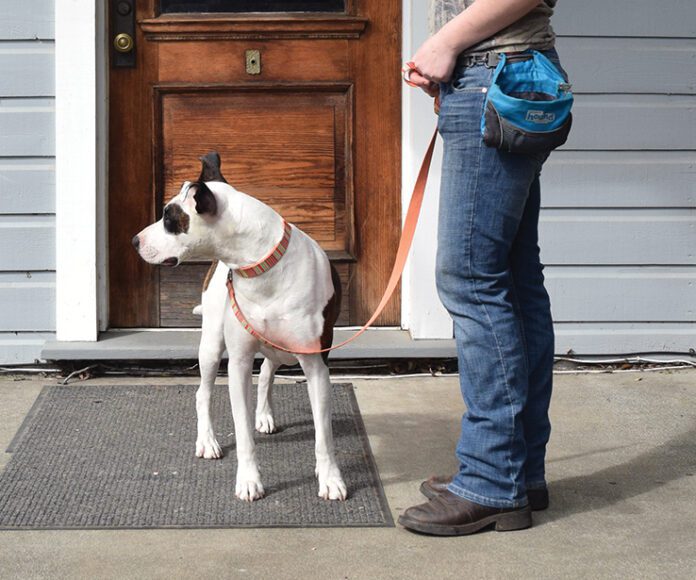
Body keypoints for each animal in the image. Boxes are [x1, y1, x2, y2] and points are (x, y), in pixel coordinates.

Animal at [133, 154, 346, 502]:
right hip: (210, 346)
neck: (259, 266)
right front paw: (249, 479)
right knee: (203, 393)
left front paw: (330, 478)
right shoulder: (239, 364)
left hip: (279, 349)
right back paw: (207, 440)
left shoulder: (316, 365)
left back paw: (264, 414)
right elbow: (243, 431)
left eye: (169, 218)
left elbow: (323, 434)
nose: (134, 241)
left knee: (268, 372)